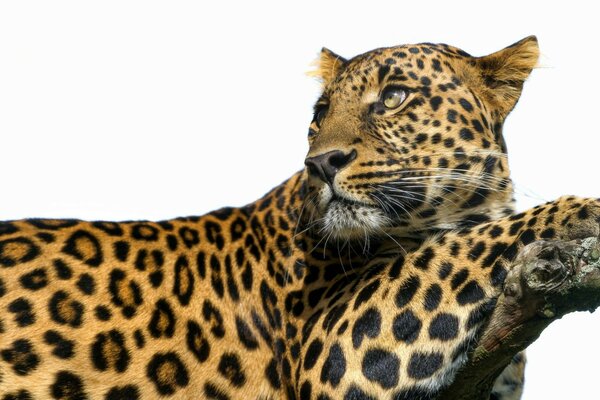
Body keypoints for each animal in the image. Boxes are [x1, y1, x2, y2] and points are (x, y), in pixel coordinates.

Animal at [2, 35, 596, 400]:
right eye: (319, 113)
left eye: (394, 97)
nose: (321, 163)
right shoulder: (333, 343)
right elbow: (460, 246)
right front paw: (582, 211)